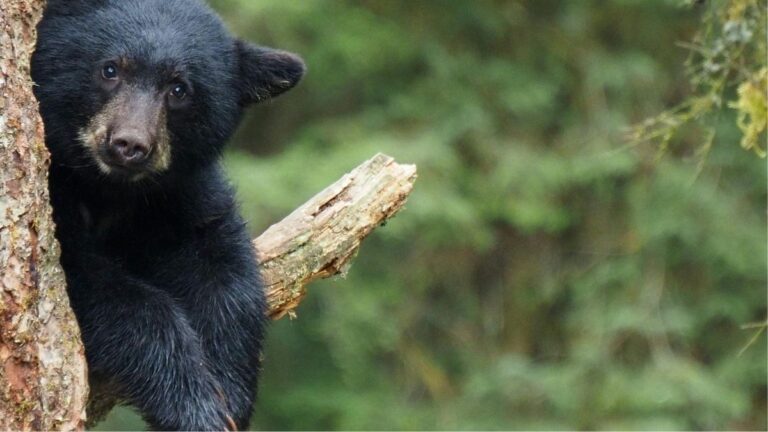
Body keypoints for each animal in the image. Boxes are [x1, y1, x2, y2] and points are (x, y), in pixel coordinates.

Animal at [30, 0, 304, 430]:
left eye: (179, 89)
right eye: (110, 69)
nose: (129, 145)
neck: (109, 189)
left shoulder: (177, 194)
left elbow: (221, 266)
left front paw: (232, 391)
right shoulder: (57, 197)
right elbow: (106, 289)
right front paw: (193, 406)